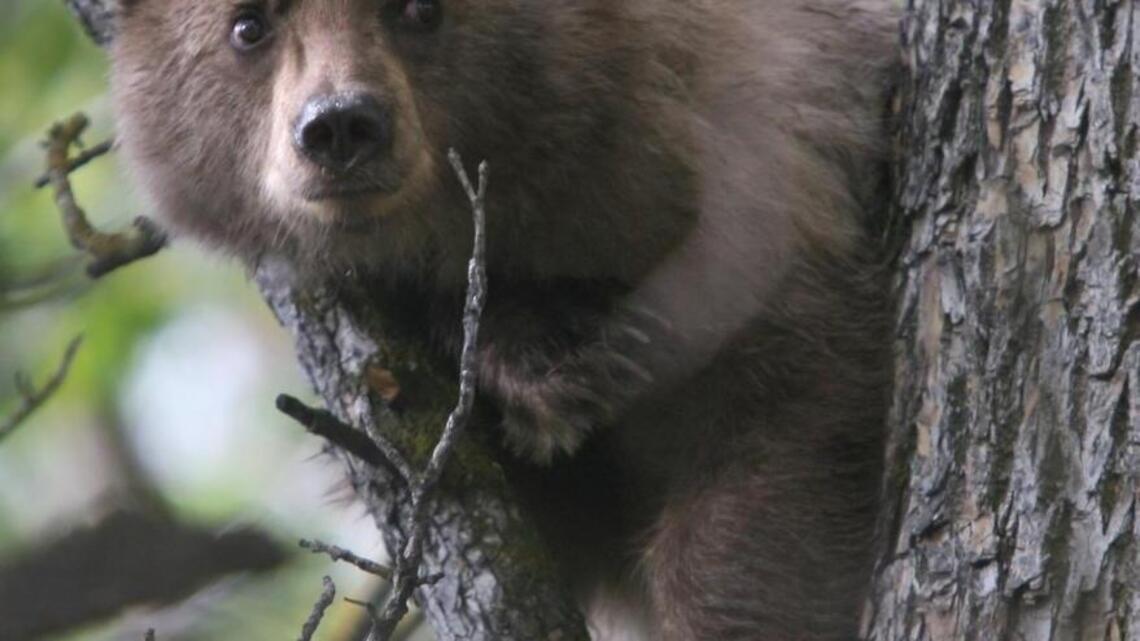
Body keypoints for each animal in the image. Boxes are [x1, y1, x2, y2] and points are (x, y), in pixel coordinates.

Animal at [108, 0, 899, 639]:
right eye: (248, 25)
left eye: (420, 8)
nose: (339, 126)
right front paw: (538, 358)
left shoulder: (764, 190)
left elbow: (785, 425)